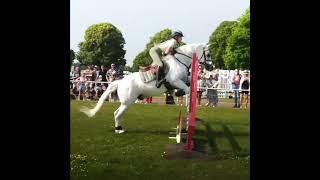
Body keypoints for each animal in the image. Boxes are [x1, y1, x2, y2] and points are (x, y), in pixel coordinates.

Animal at [81, 43, 209, 133]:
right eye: (207, 54)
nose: (208, 66)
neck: (180, 62)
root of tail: (120, 82)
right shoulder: (175, 81)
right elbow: (187, 89)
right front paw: (185, 95)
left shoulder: (183, 80)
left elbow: (188, 84)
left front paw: (180, 93)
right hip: (128, 102)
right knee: (117, 114)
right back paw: (119, 130)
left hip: (128, 102)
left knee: (117, 113)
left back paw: (120, 128)